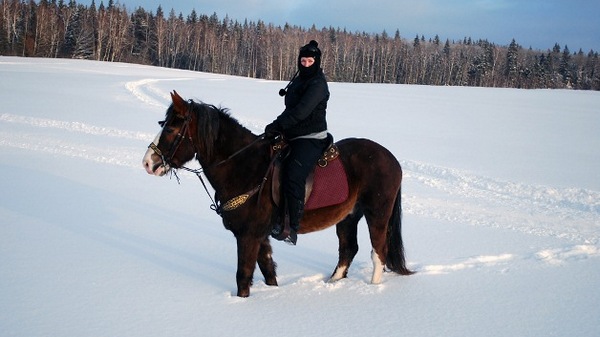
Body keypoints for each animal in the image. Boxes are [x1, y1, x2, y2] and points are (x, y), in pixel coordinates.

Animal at [142, 90, 412, 296]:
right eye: (163, 125)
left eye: (171, 130)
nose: (148, 163)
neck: (245, 166)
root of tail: (391, 158)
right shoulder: (260, 235)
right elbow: (268, 271)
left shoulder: (248, 235)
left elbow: (243, 276)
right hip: (348, 216)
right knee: (348, 249)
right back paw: (333, 283)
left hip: (377, 214)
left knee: (378, 251)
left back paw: (373, 289)